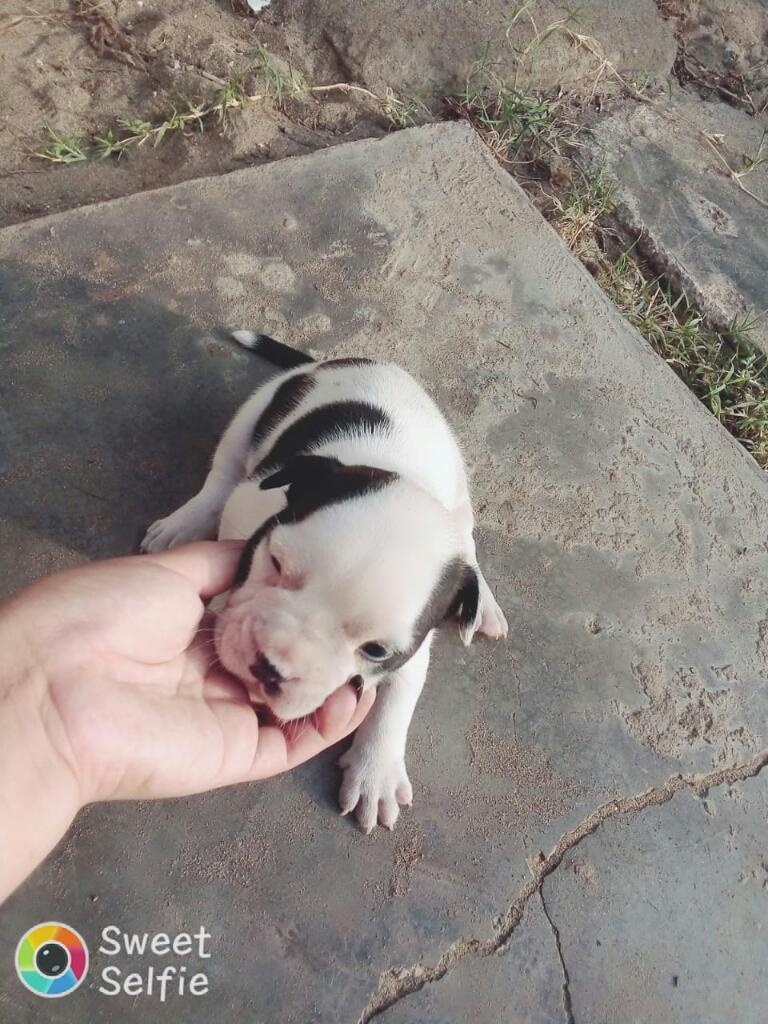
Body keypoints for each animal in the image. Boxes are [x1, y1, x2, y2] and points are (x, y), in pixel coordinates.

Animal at [141, 335, 507, 831]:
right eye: (275, 562)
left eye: (376, 650)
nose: (270, 666)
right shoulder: (247, 505)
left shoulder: (414, 645)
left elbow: (398, 700)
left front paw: (375, 773)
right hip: (254, 413)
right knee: (221, 476)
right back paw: (184, 522)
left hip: (460, 490)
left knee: (466, 542)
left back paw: (483, 603)